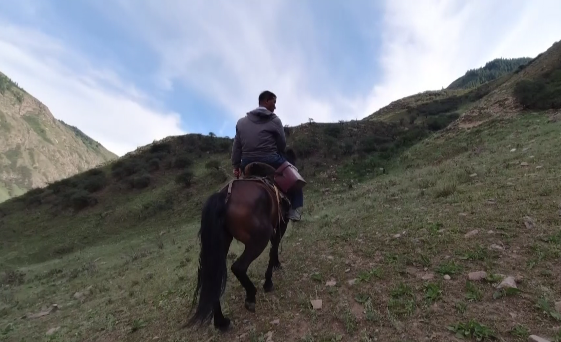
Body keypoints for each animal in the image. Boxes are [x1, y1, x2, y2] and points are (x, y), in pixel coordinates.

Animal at [187, 148, 302, 330]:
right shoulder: (280, 224)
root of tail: (224, 196)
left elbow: (274, 248)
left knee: (213, 277)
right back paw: (250, 296)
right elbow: (274, 248)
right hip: (258, 240)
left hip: (221, 243)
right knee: (238, 267)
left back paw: (221, 321)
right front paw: (269, 280)